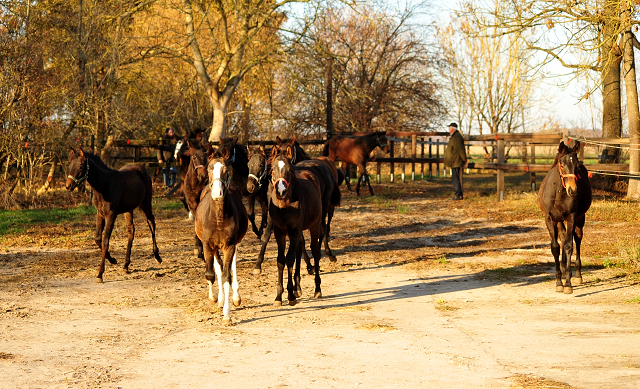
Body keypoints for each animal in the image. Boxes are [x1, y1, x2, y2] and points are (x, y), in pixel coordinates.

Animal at [66, 147, 161, 280]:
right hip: (128, 210)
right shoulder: (100, 214)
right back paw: (126, 265)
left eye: (81, 166)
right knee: (131, 231)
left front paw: (100, 274)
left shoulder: (111, 215)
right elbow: (97, 239)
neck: (104, 186)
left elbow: (106, 241)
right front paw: (113, 260)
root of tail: (142, 169)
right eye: (70, 165)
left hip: (146, 204)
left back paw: (157, 257)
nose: (68, 186)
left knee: (152, 223)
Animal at [192, 149, 248, 324]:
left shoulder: (229, 245)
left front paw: (227, 315)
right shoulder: (207, 245)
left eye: (225, 169)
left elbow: (226, 276)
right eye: (210, 168)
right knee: (217, 266)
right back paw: (220, 299)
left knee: (231, 267)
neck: (218, 218)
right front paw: (215, 298)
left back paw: (235, 297)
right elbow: (211, 273)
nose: (218, 193)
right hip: (215, 248)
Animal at [268, 144, 324, 304]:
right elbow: (281, 260)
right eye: (272, 169)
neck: (284, 205)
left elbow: (289, 258)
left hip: (314, 225)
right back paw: (297, 288)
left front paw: (290, 296)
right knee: (299, 250)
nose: (281, 191)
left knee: (315, 251)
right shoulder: (279, 232)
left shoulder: (294, 231)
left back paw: (317, 289)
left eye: (290, 170)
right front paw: (279, 296)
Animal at [536, 141, 592, 292]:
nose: (573, 190)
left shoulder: (571, 217)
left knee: (577, 239)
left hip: (580, 218)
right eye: (562, 164)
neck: (558, 194)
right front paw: (559, 282)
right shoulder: (549, 219)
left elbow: (568, 246)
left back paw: (577, 275)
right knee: (562, 237)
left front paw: (567, 283)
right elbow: (555, 247)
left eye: (577, 166)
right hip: (559, 221)